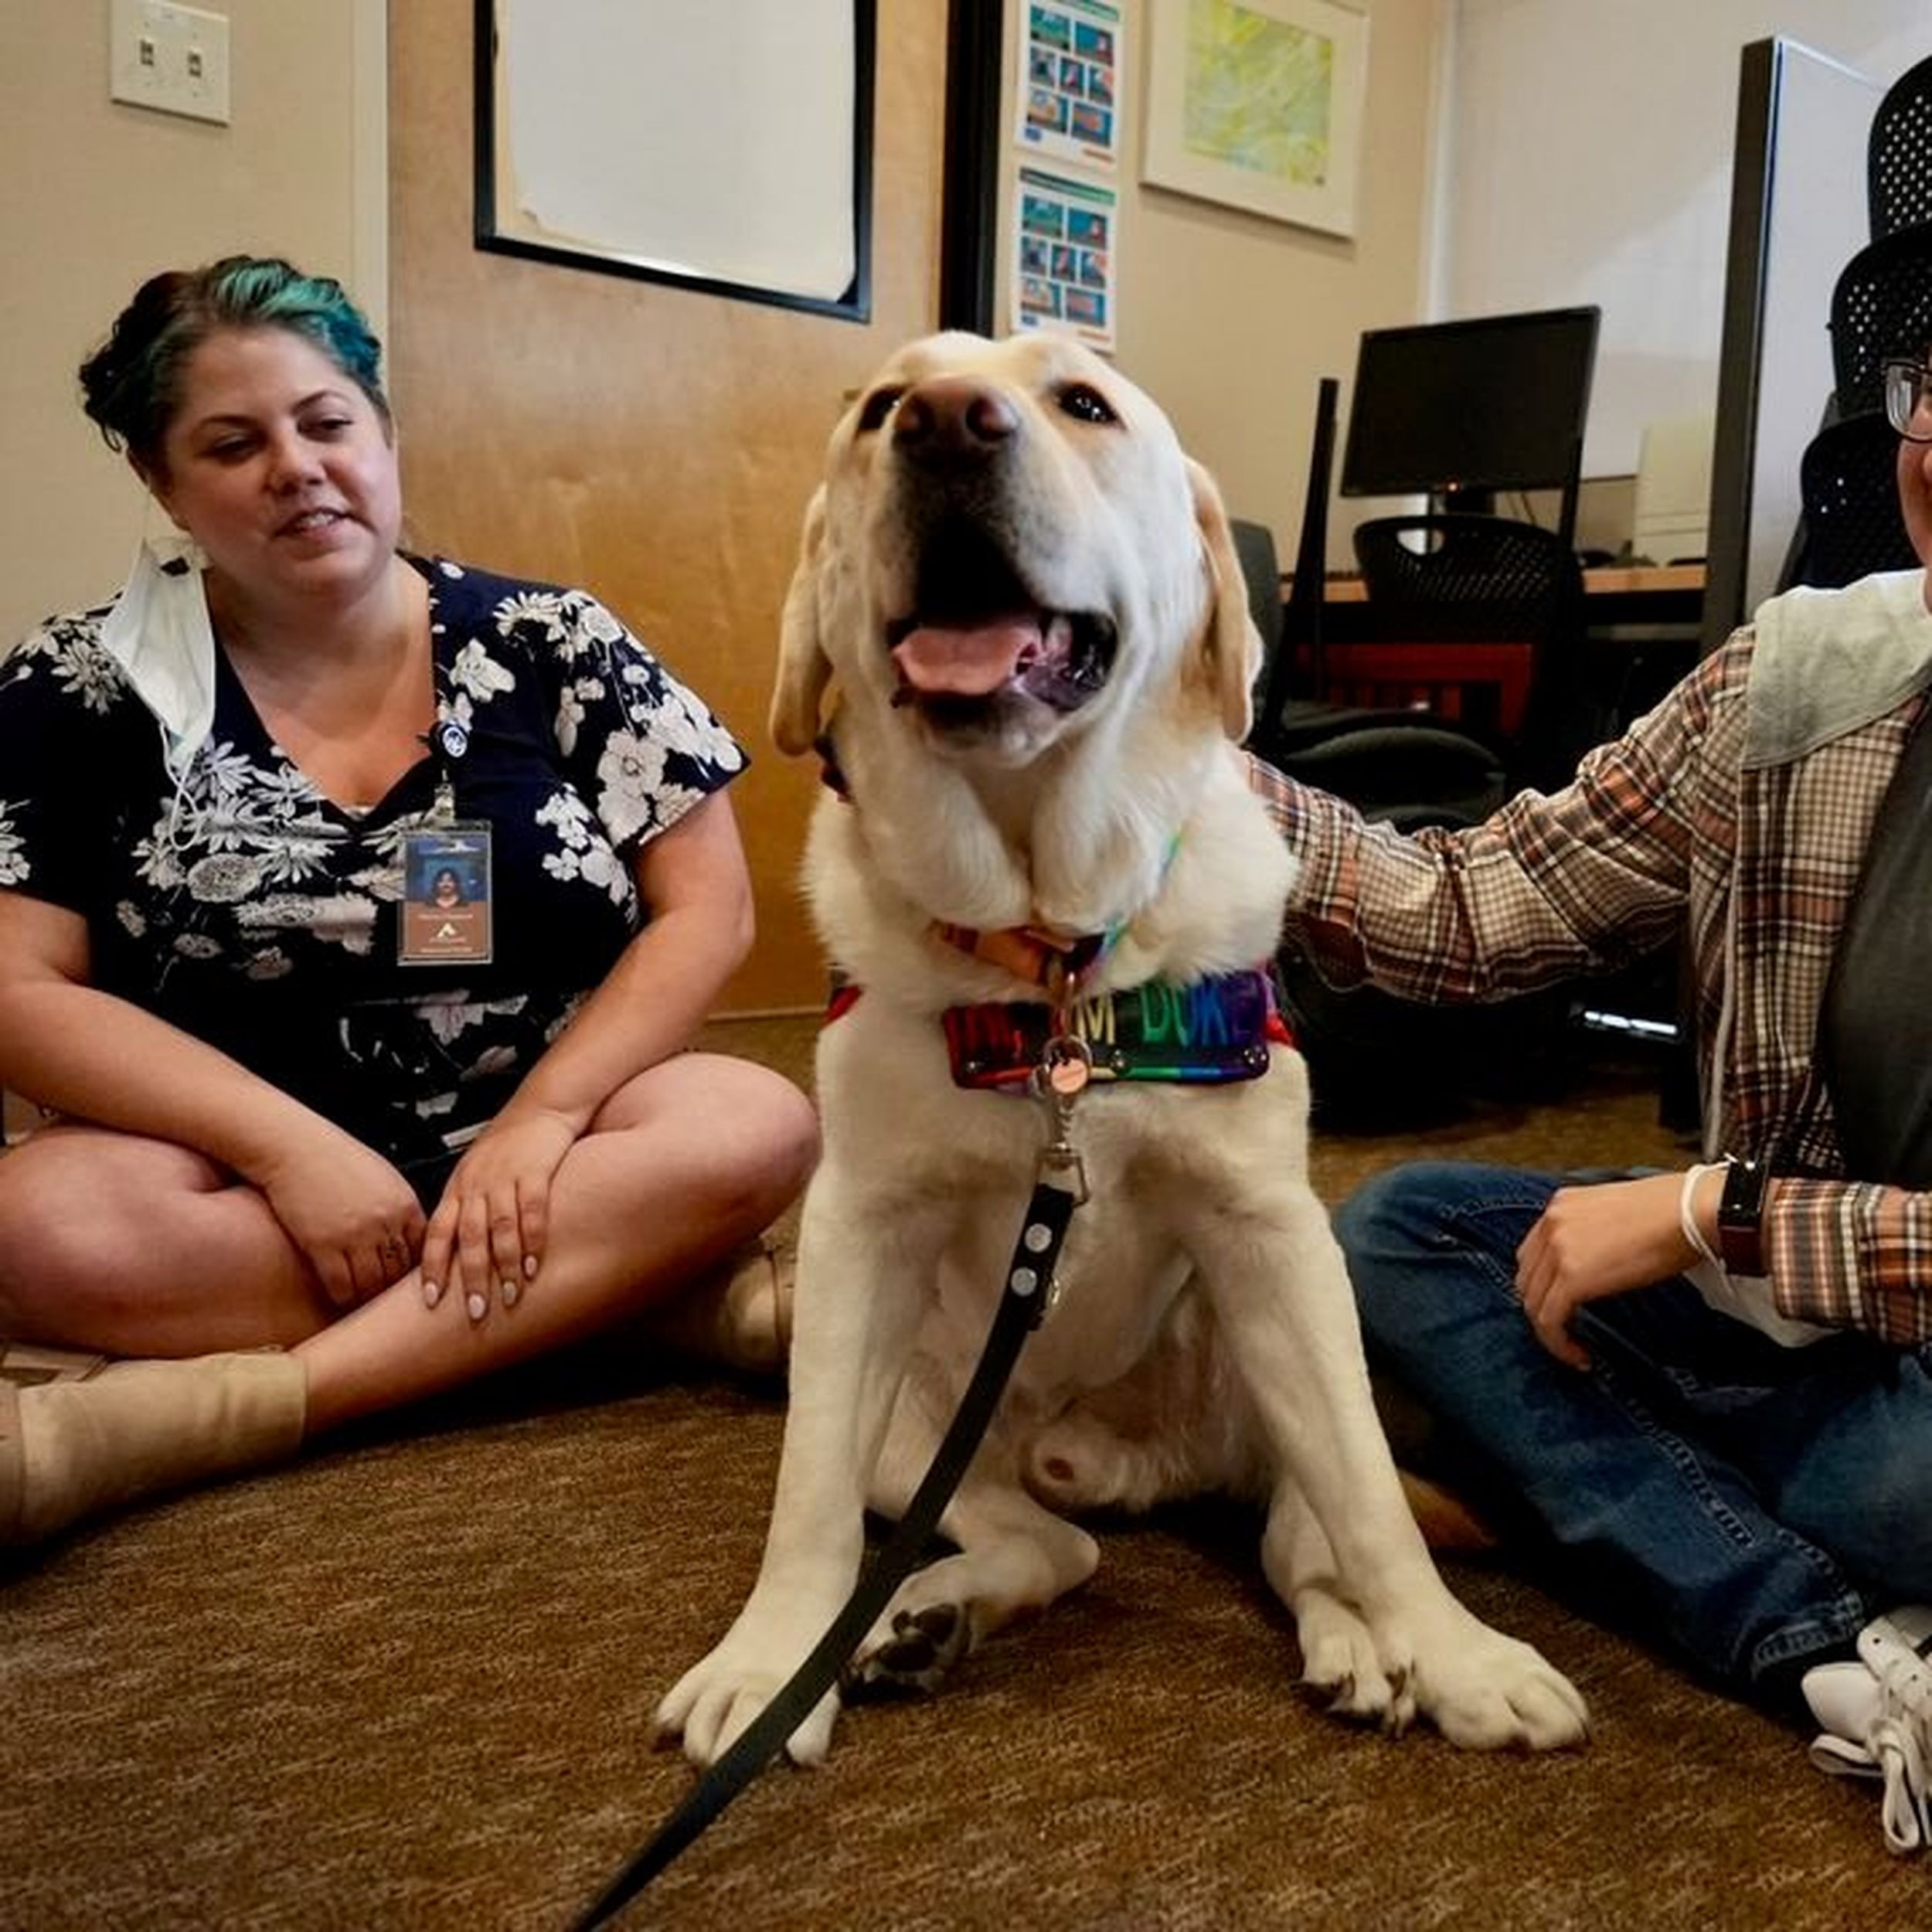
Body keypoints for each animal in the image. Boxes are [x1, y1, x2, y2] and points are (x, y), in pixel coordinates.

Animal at [657, 328, 1592, 1770]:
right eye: (881, 409)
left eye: (1083, 402)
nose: (945, 423)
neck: (1052, 963)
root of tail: (1127, 1465)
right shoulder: (859, 1233)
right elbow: (808, 1493)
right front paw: (769, 1668)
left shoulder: (1273, 1233)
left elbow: (1375, 1514)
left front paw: (1457, 1654)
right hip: (923, 1423)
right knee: (1057, 1548)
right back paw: (922, 1615)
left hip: (1283, 1359)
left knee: (1302, 1540)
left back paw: (1364, 1651)